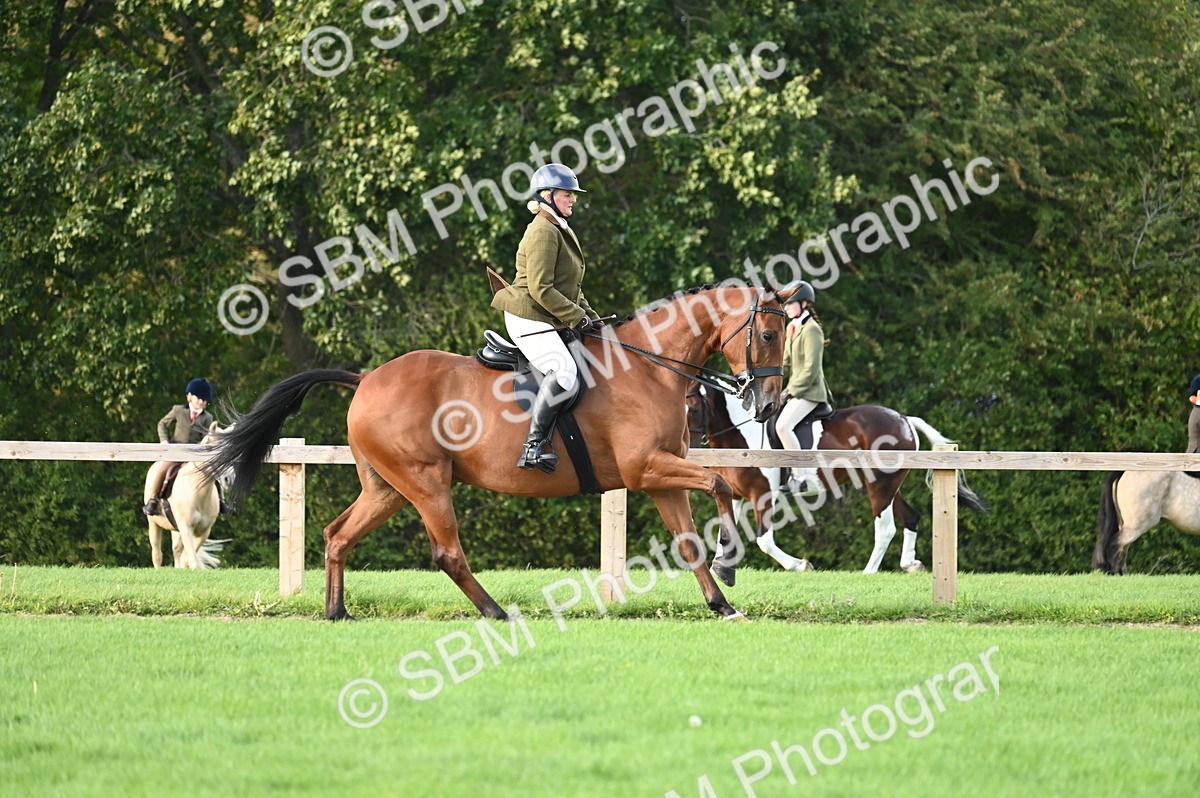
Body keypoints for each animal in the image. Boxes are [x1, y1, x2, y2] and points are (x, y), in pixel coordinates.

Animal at [143, 422, 233, 569]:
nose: (228, 479)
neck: (198, 494)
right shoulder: (185, 527)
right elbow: (190, 557)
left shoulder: (204, 531)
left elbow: (188, 556)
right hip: (154, 524)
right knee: (157, 554)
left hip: (175, 529)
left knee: (176, 550)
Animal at [203, 282, 793, 621]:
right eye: (767, 334)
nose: (768, 403)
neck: (649, 366)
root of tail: (368, 378)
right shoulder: (647, 468)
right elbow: (718, 485)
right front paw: (730, 561)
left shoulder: (659, 478)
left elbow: (690, 539)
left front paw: (722, 602)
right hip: (426, 483)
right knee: (447, 553)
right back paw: (495, 611)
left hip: (389, 488)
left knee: (337, 535)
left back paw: (336, 611)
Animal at [687, 384, 988, 582]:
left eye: (693, 409)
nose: (687, 448)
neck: (742, 434)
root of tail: (904, 419)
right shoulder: (735, 495)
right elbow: (724, 534)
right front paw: (718, 567)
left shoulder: (763, 494)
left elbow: (764, 540)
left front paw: (800, 565)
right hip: (889, 486)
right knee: (910, 517)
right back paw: (910, 564)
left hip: (879, 486)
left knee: (885, 527)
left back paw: (868, 572)